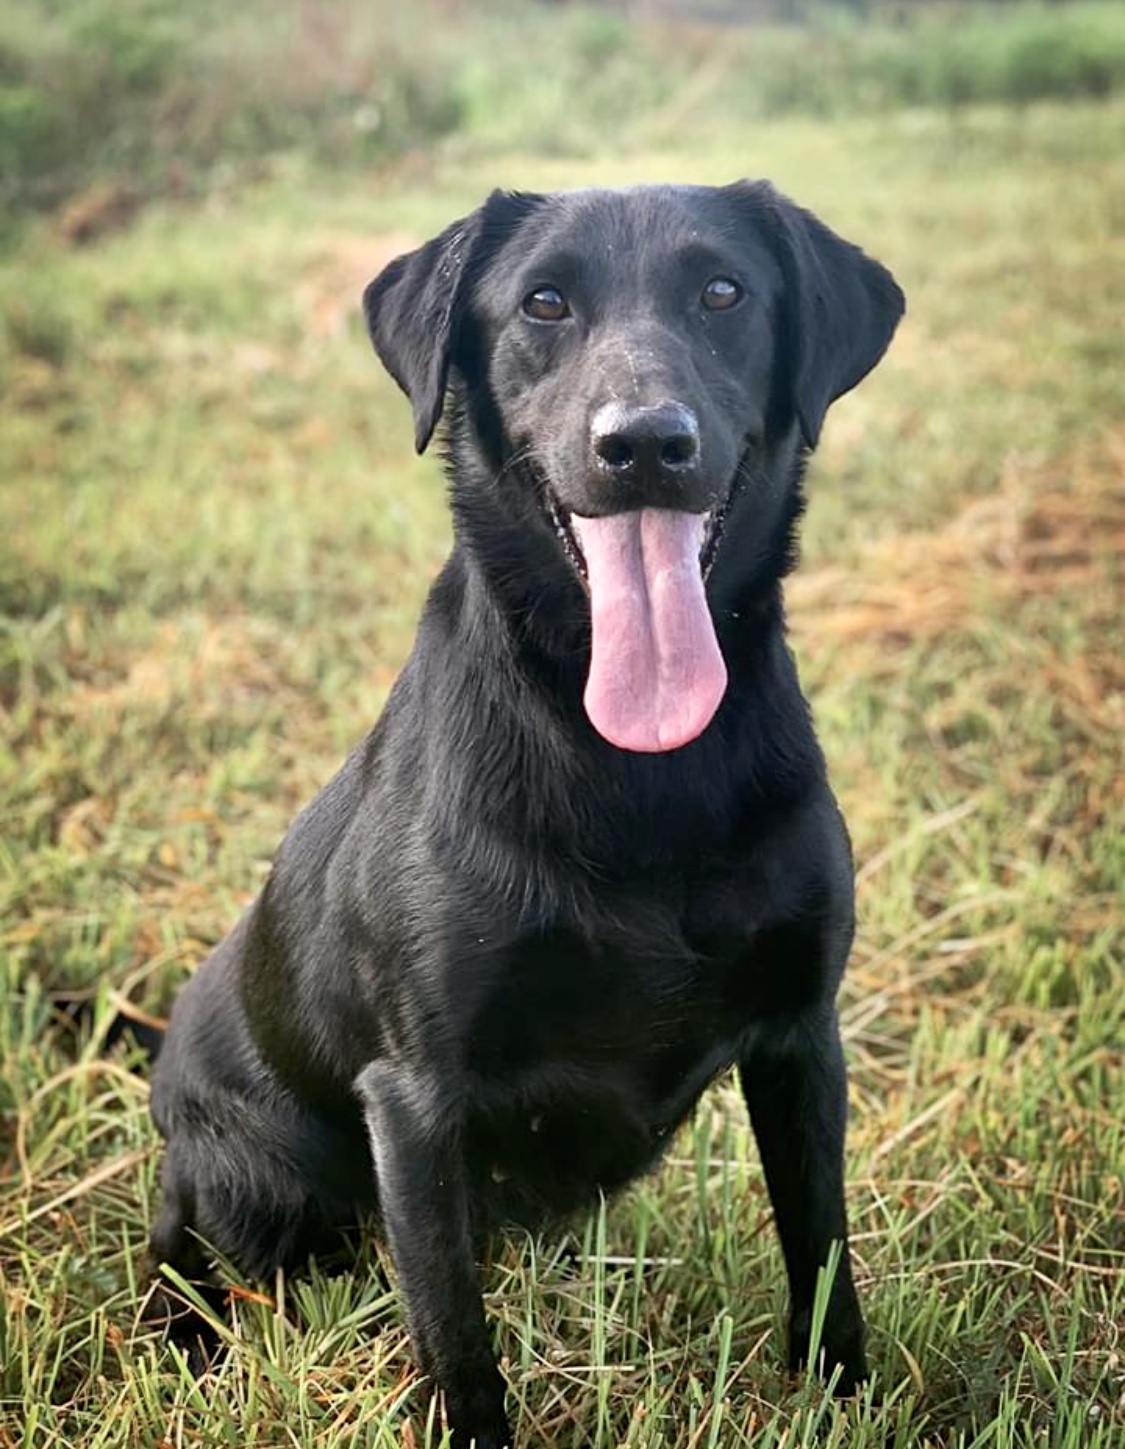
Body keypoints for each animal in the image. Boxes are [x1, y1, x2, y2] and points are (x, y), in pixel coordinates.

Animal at [149, 184, 904, 1449]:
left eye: (724, 292)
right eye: (543, 303)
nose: (643, 443)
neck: (635, 767)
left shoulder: (803, 1038)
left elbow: (823, 1252)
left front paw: (846, 1398)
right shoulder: (415, 1105)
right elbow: (455, 1338)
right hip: (259, 1185)